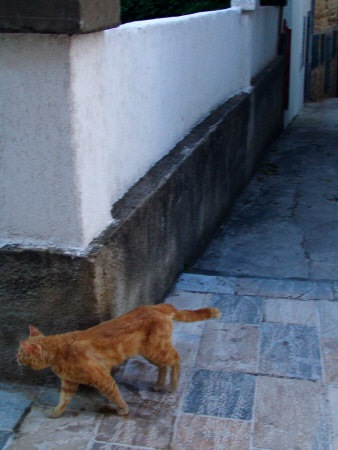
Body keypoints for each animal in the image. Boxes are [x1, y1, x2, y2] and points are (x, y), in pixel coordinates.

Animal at [17, 302, 220, 418]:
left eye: (20, 354)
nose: (16, 359)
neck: (58, 350)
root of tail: (159, 306)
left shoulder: (101, 377)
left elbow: (115, 394)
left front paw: (123, 410)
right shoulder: (69, 383)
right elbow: (63, 401)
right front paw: (56, 413)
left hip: (156, 350)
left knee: (176, 359)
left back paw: (172, 385)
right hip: (150, 352)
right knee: (164, 366)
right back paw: (160, 384)